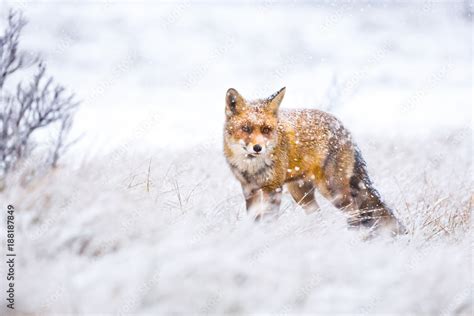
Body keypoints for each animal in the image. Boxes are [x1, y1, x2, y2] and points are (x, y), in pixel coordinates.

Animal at [224, 86, 406, 235]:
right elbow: (253, 219)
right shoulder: (249, 189)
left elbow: (268, 220)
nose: (257, 148)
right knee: (319, 215)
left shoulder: (273, 188)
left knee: (354, 212)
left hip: (332, 191)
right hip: (301, 194)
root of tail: (344, 129)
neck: (251, 167)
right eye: (246, 128)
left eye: (266, 130)